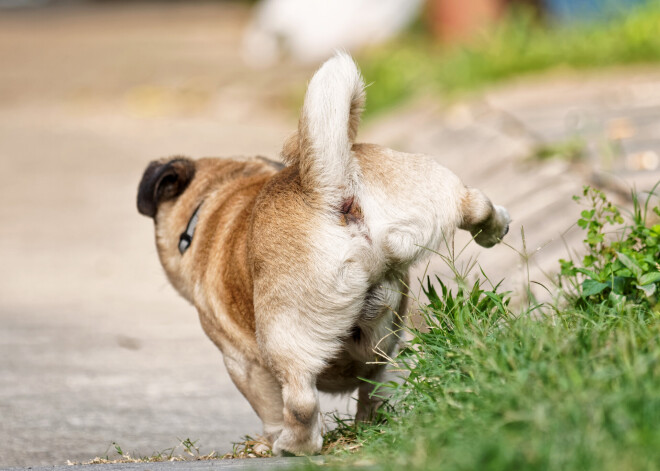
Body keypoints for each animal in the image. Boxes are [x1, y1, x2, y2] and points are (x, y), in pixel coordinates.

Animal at [138, 52, 510, 458]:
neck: (219, 196)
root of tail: (331, 191)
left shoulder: (241, 362)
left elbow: (270, 406)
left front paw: (269, 441)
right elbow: (375, 391)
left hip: (284, 333)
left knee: (300, 401)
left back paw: (293, 446)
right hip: (429, 188)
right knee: (474, 202)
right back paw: (494, 228)